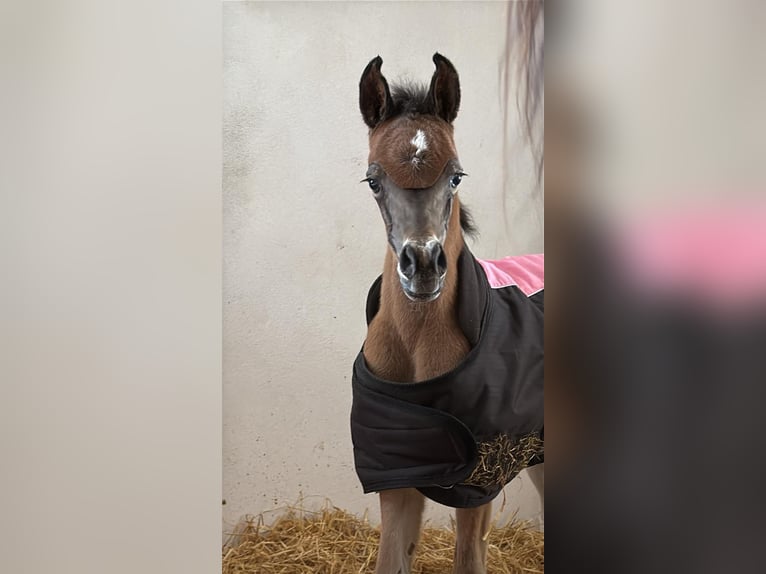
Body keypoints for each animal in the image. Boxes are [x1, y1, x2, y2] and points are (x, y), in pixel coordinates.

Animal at [349, 54, 544, 574]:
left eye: (456, 176)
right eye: (373, 180)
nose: (422, 266)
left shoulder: (478, 486)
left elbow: (469, 558)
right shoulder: (397, 475)